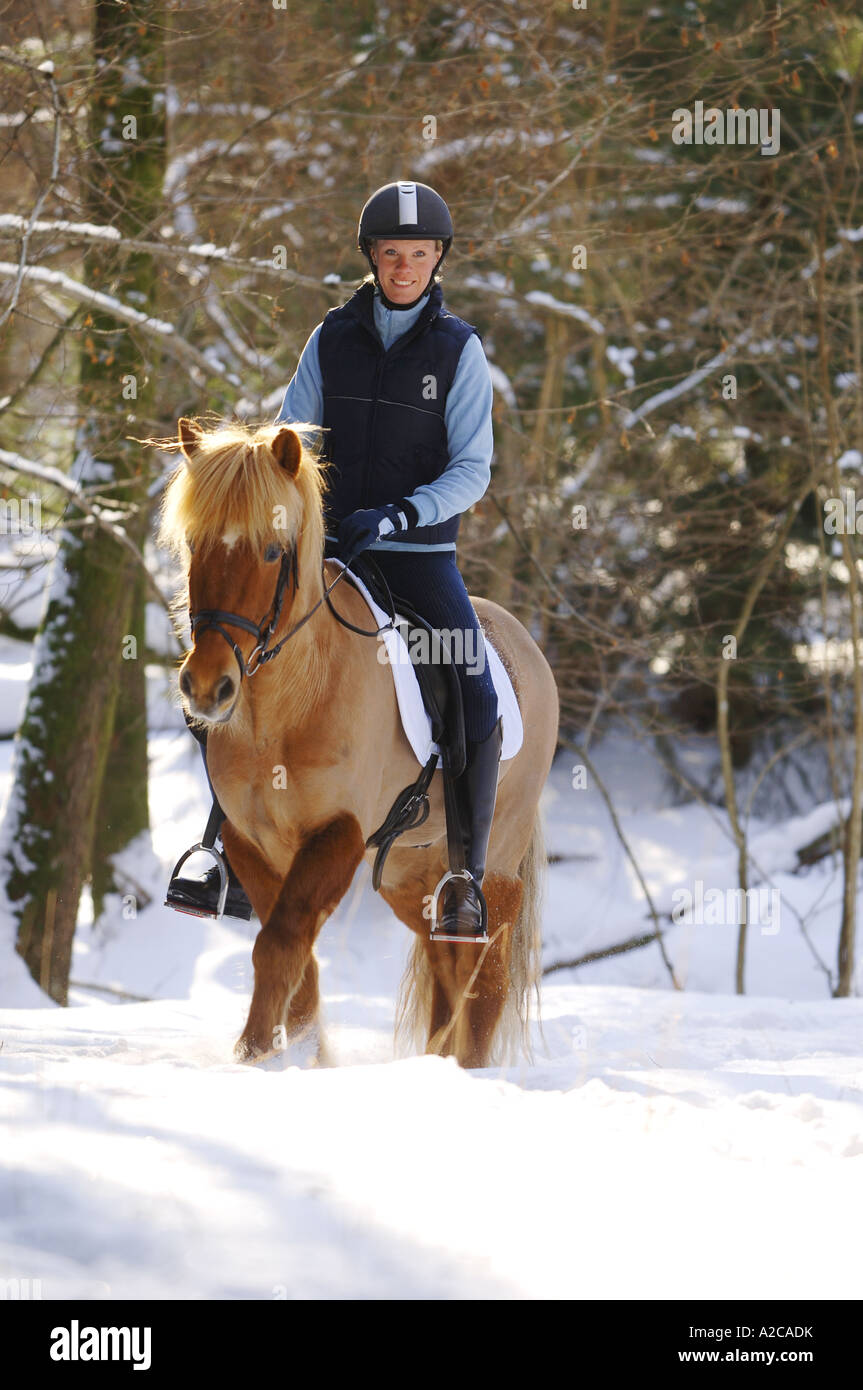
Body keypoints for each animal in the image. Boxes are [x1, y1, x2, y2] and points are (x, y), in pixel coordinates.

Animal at [157, 417, 560, 1068]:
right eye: (195, 546)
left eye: (272, 551)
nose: (207, 687)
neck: (287, 705)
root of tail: (526, 645)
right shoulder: (251, 839)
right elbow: (293, 956)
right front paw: (294, 1051)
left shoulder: (337, 834)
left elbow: (281, 943)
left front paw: (254, 1055)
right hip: (410, 875)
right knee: (448, 967)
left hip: (494, 868)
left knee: (485, 978)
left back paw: (466, 1073)